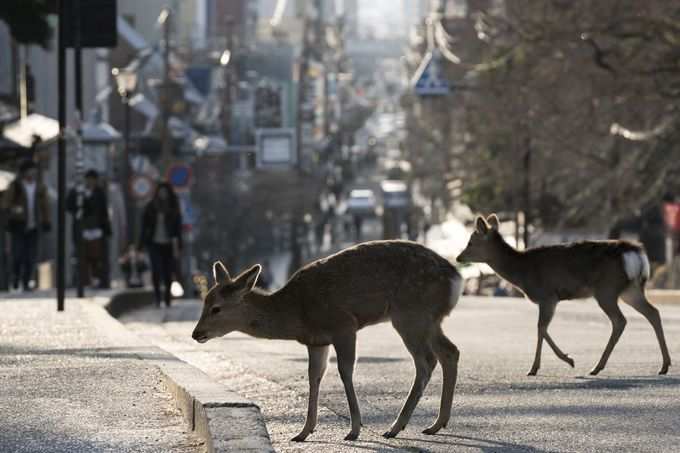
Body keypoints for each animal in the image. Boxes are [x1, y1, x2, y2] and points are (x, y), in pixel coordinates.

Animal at [194, 240, 464, 442]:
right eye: (204, 302)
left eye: (216, 308)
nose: (196, 333)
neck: (297, 314)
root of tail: (456, 279)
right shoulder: (316, 341)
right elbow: (314, 376)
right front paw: (303, 432)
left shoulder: (344, 325)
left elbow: (345, 371)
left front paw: (354, 430)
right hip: (429, 319)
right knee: (449, 351)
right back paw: (436, 424)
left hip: (410, 313)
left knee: (426, 361)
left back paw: (395, 427)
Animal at [454, 214, 672, 376]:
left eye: (471, 241)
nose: (458, 257)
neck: (522, 272)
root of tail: (635, 253)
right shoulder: (551, 299)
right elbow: (542, 328)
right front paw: (549, 363)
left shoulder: (547, 296)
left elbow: (541, 328)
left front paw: (554, 363)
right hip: (630, 289)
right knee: (653, 312)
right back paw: (664, 365)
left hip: (606, 289)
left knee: (620, 320)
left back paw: (596, 367)